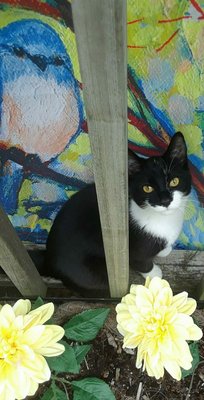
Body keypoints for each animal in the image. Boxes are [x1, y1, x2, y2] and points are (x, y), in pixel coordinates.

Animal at [44, 133, 191, 296]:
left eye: (174, 181)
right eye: (147, 188)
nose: (165, 200)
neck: (164, 219)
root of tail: (48, 261)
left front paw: (164, 250)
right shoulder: (130, 248)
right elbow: (141, 262)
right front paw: (154, 274)